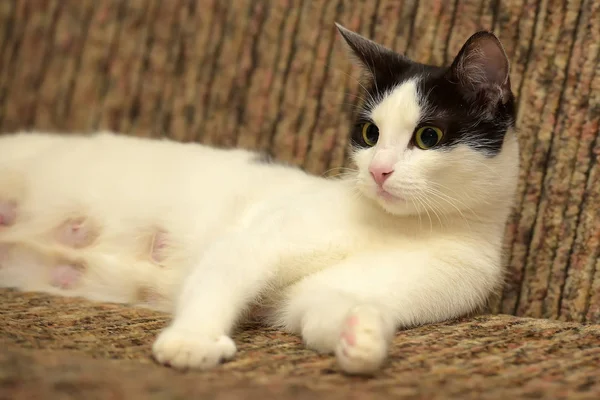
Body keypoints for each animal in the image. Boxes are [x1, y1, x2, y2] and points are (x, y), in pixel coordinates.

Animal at [0, 24, 516, 376]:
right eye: (370, 134)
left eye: (428, 137)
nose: (378, 170)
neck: (404, 226)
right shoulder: (258, 239)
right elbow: (224, 273)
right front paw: (191, 341)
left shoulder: (348, 292)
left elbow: (324, 310)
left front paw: (363, 338)